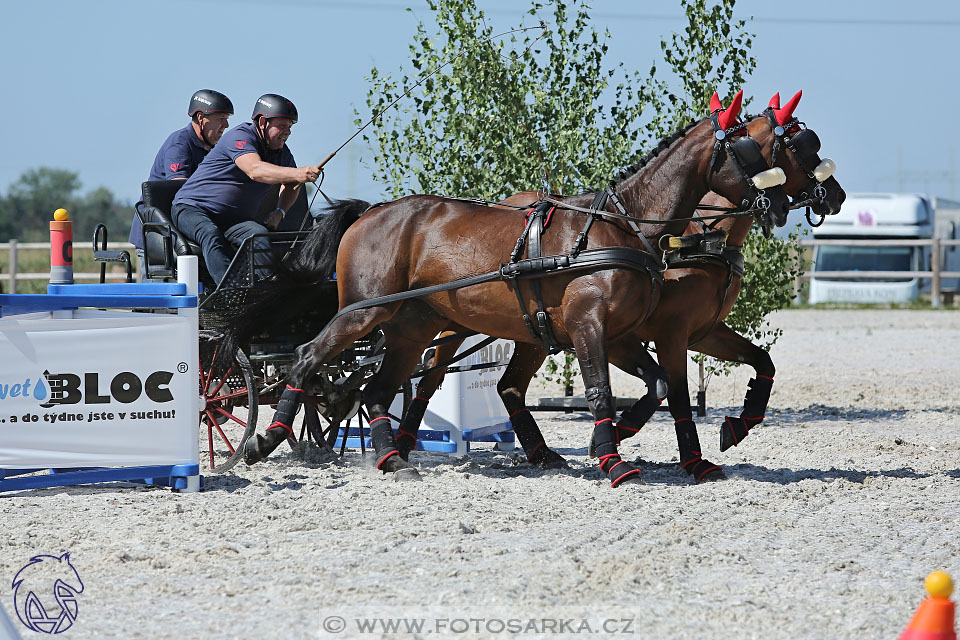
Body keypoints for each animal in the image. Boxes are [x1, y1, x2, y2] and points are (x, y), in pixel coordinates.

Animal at [244, 91, 792, 484]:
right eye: (752, 149)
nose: (784, 204)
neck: (625, 226)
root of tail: (371, 211)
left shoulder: (625, 333)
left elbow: (658, 384)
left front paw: (619, 441)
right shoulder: (594, 325)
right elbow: (602, 388)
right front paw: (612, 458)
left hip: (415, 327)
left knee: (383, 388)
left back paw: (392, 459)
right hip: (364, 312)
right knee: (309, 357)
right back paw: (263, 441)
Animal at [394, 89, 844, 480]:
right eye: (793, 146)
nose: (835, 195)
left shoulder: (702, 330)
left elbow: (760, 362)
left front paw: (734, 428)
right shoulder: (666, 331)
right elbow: (675, 393)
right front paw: (678, 456)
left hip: (527, 330)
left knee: (504, 386)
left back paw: (535, 453)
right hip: (456, 322)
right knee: (430, 378)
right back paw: (402, 445)